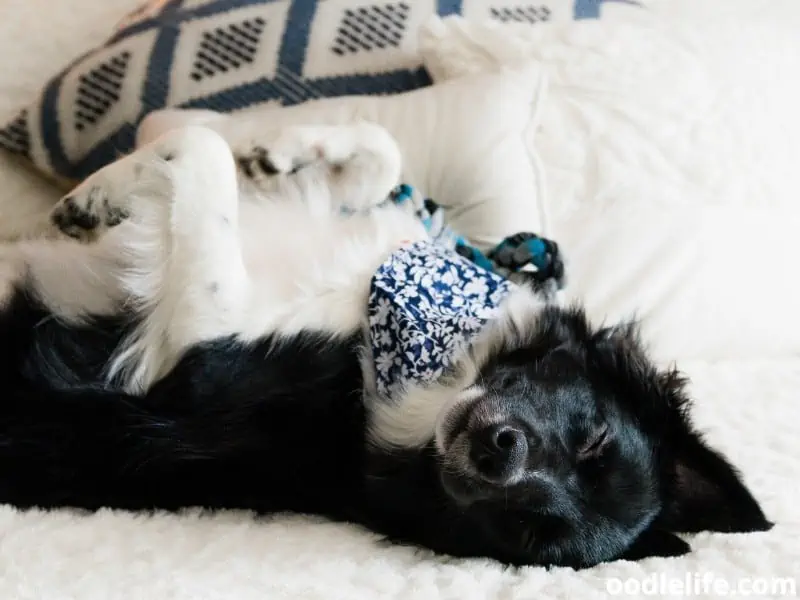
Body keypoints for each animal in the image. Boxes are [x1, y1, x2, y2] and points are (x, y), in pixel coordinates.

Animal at [0, 120, 772, 568]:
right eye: (595, 442)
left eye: (533, 534)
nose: (498, 455)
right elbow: (377, 153)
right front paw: (278, 154)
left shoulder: (185, 358)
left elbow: (202, 153)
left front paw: (108, 188)